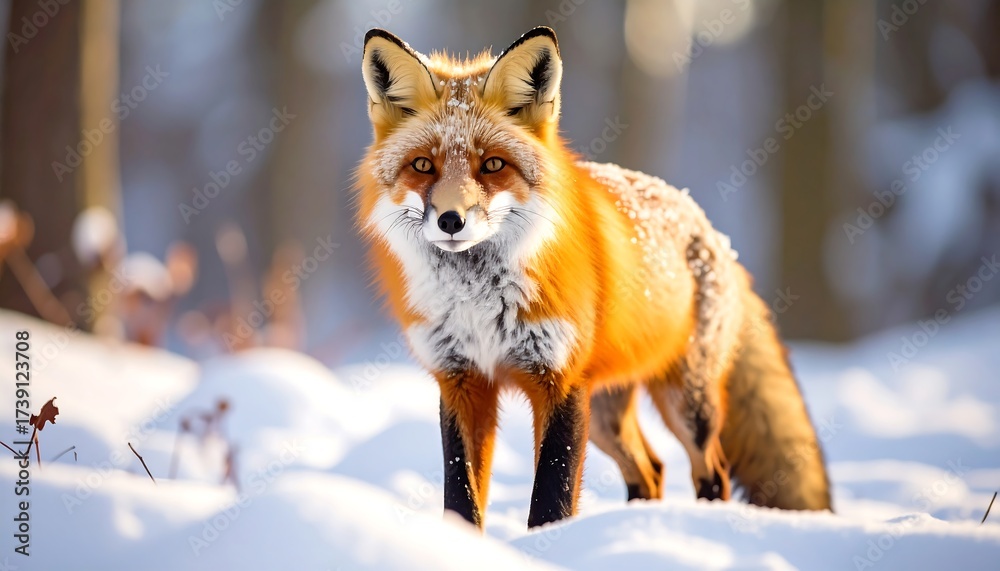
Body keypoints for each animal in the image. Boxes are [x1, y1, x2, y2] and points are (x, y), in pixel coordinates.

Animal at [357, 26, 832, 529]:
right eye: (423, 165)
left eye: (493, 165)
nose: (451, 220)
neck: (478, 302)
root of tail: (711, 231)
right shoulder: (461, 381)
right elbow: (461, 498)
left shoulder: (561, 382)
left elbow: (552, 497)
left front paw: (547, 541)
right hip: (605, 415)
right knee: (651, 470)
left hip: (686, 405)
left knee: (712, 470)